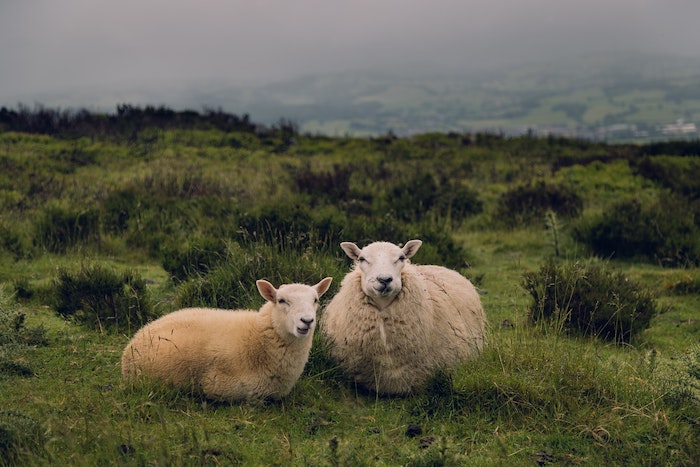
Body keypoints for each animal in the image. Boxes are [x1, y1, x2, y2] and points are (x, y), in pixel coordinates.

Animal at [121, 277, 333, 403]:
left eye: (315, 300)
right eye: (281, 301)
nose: (307, 321)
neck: (258, 338)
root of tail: (138, 335)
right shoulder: (224, 387)